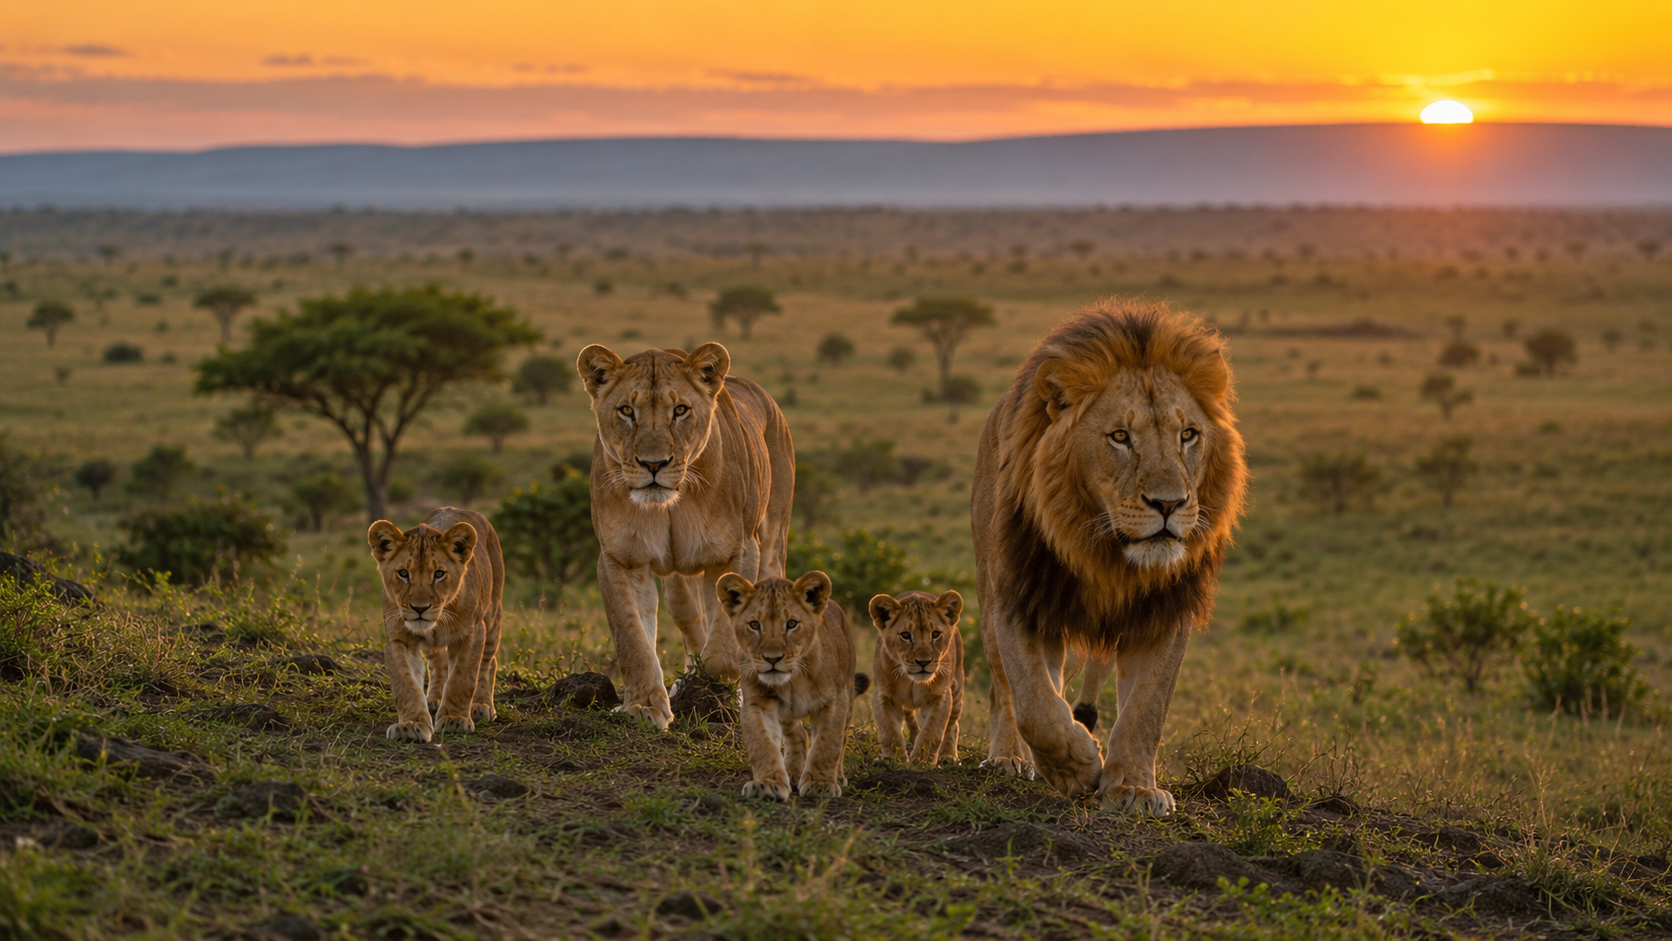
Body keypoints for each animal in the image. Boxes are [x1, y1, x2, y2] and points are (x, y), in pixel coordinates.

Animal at [367, 507, 505, 743]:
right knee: (438, 663)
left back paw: (481, 705)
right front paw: (411, 726)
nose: (419, 608)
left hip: (492, 617)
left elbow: (463, 678)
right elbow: (406, 684)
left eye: (439, 574)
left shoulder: (472, 633)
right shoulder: (399, 639)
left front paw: (455, 720)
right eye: (403, 573)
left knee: (489, 663)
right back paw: (434, 699)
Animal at [577, 343, 794, 729]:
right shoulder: (621, 558)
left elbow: (725, 645)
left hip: (772, 540)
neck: (671, 505)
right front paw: (644, 705)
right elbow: (632, 637)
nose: (653, 464)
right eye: (626, 411)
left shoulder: (738, 553)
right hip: (677, 581)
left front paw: (708, 690)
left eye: (680, 410)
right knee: (689, 618)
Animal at [718, 570, 869, 800]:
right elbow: (762, 743)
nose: (772, 659)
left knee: (842, 739)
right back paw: (793, 773)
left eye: (791, 624)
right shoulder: (757, 702)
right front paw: (768, 783)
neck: (792, 681)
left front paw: (821, 784)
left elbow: (828, 744)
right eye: (754, 625)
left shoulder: (835, 700)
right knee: (798, 734)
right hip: (787, 714)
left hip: (849, 695)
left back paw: (839, 776)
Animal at [868, 590, 965, 765]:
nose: (923, 662)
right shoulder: (884, 696)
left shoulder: (939, 696)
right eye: (905, 635)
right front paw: (893, 759)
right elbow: (889, 730)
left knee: (952, 724)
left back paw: (948, 756)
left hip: (957, 688)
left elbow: (932, 731)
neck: (911, 681)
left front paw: (921, 761)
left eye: (936, 634)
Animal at [972, 300, 1247, 815]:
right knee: (1005, 689)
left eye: (1188, 435)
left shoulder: (1165, 611)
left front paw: (1134, 787)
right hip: (986, 590)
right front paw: (1076, 766)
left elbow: (1147, 708)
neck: (1108, 555)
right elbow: (1034, 703)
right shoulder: (1020, 597)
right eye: (1120, 436)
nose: (1169, 504)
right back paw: (1009, 759)